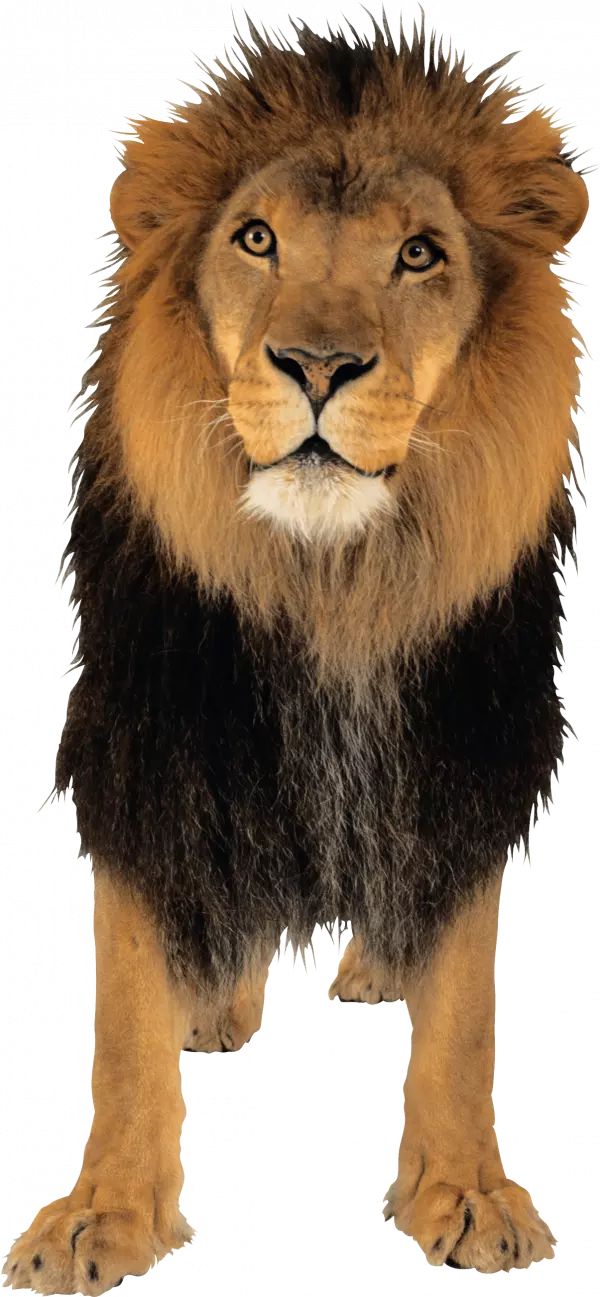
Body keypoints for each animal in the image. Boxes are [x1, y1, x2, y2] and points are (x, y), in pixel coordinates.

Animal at [4, 4, 591, 1291]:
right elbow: (126, 997)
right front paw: (105, 1212)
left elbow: (463, 1001)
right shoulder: (154, 736)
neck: (329, 579)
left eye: (419, 254)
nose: (318, 367)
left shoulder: (457, 740)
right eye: (256, 239)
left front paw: (463, 1190)